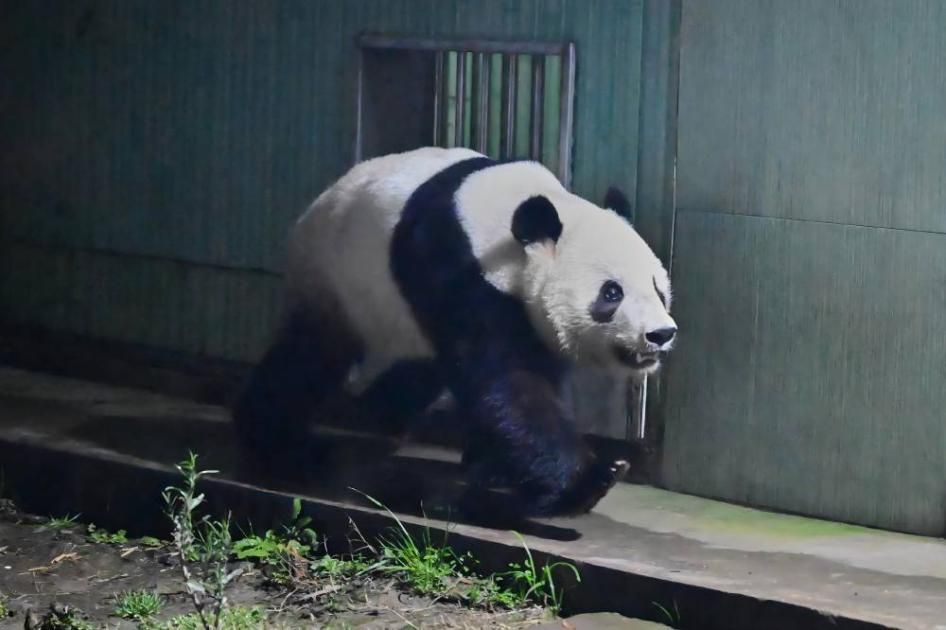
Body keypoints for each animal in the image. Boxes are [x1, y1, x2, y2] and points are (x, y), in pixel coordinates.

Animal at [233, 146, 676, 519]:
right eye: (612, 293)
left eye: (658, 288)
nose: (660, 334)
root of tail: (315, 206)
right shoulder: (453, 266)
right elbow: (508, 382)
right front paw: (589, 479)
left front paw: (498, 468)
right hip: (335, 279)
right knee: (308, 359)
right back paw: (278, 445)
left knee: (418, 371)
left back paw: (376, 417)